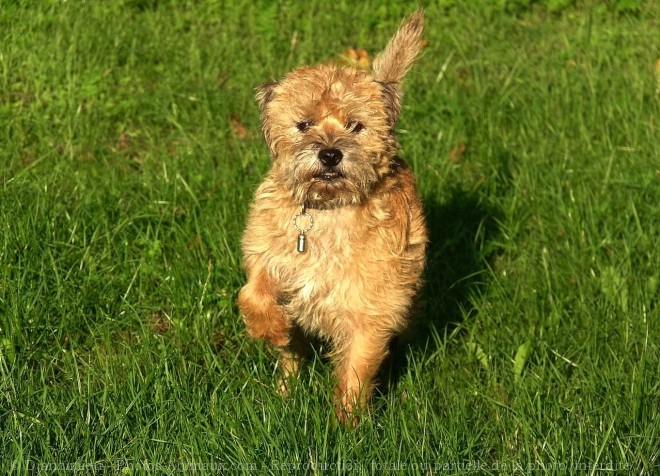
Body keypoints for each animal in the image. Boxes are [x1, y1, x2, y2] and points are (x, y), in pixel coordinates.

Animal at [237, 9, 428, 426]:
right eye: (304, 124)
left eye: (355, 125)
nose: (329, 153)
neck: (326, 211)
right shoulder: (269, 255)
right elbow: (252, 293)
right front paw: (271, 327)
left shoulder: (369, 311)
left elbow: (356, 373)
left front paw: (347, 427)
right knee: (291, 359)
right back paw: (284, 394)